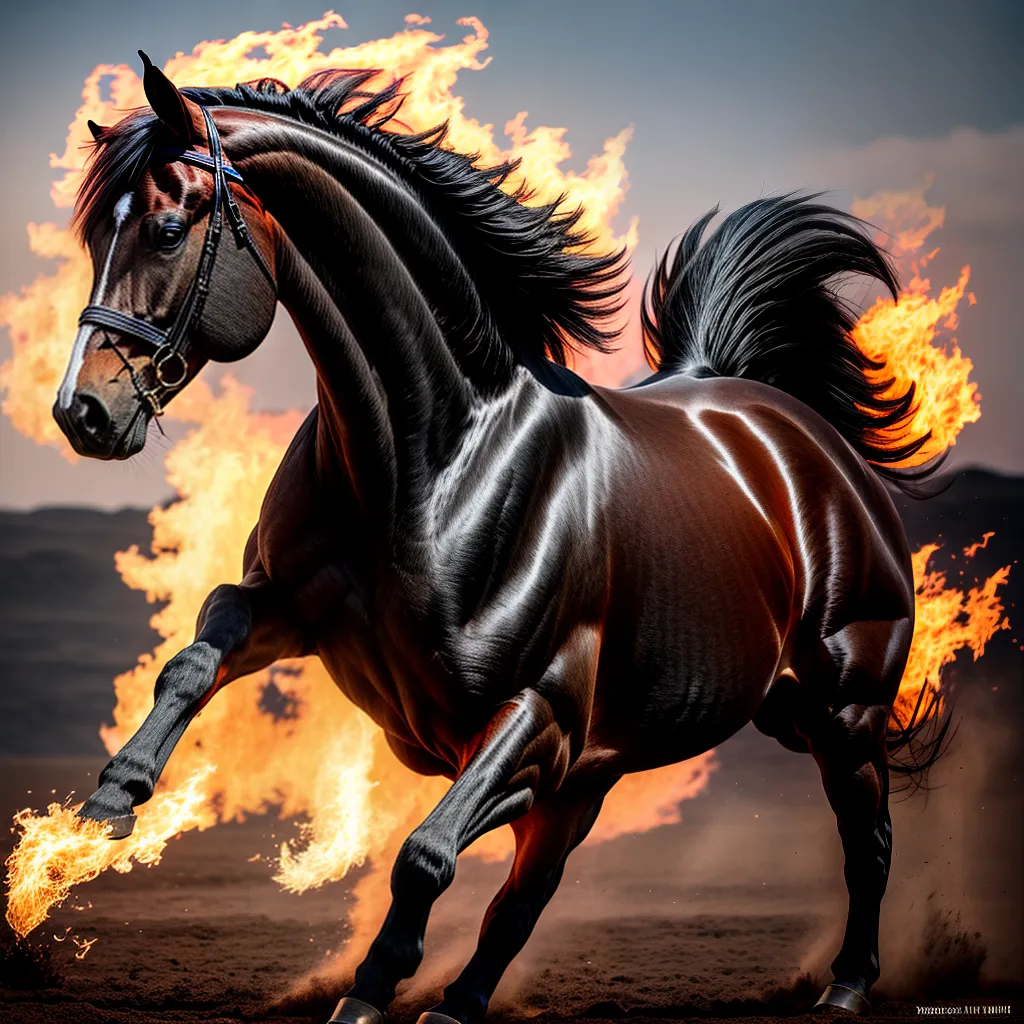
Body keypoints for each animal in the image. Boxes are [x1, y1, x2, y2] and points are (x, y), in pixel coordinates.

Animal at [52, 54, 943, 1021]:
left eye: (169, 229)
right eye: (97, 238)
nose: (82, 412)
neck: (427, 462)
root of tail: (798, 438)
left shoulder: (535, 717)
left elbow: (425, 856)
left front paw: (369, 992)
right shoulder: (286, 608)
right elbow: (195, 659)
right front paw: (111, 801)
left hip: (837, 713)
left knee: (870, 840)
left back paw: (847, 986)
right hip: (615, 768)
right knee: (529, 896)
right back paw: (459, 1001)